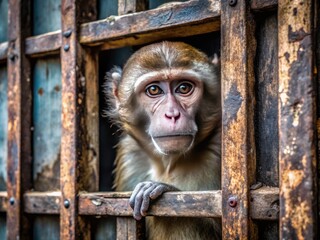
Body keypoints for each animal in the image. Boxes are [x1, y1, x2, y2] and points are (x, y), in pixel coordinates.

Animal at [104, 40, 221, 238]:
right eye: (153, 90)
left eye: (184, 88)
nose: (172, 114)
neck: (170, 163)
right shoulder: (130, 155)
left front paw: (158, 188)